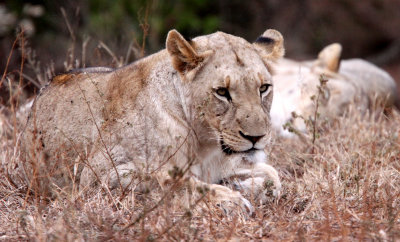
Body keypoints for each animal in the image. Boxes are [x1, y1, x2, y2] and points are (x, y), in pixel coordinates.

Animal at [19, 28, 284, 214]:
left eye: (263, 88)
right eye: (222, 92)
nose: (256, 137)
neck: (205, 145)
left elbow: (274, 176)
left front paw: (239, 186)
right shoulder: (98, 176)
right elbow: (171, 182)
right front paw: (232, 201)